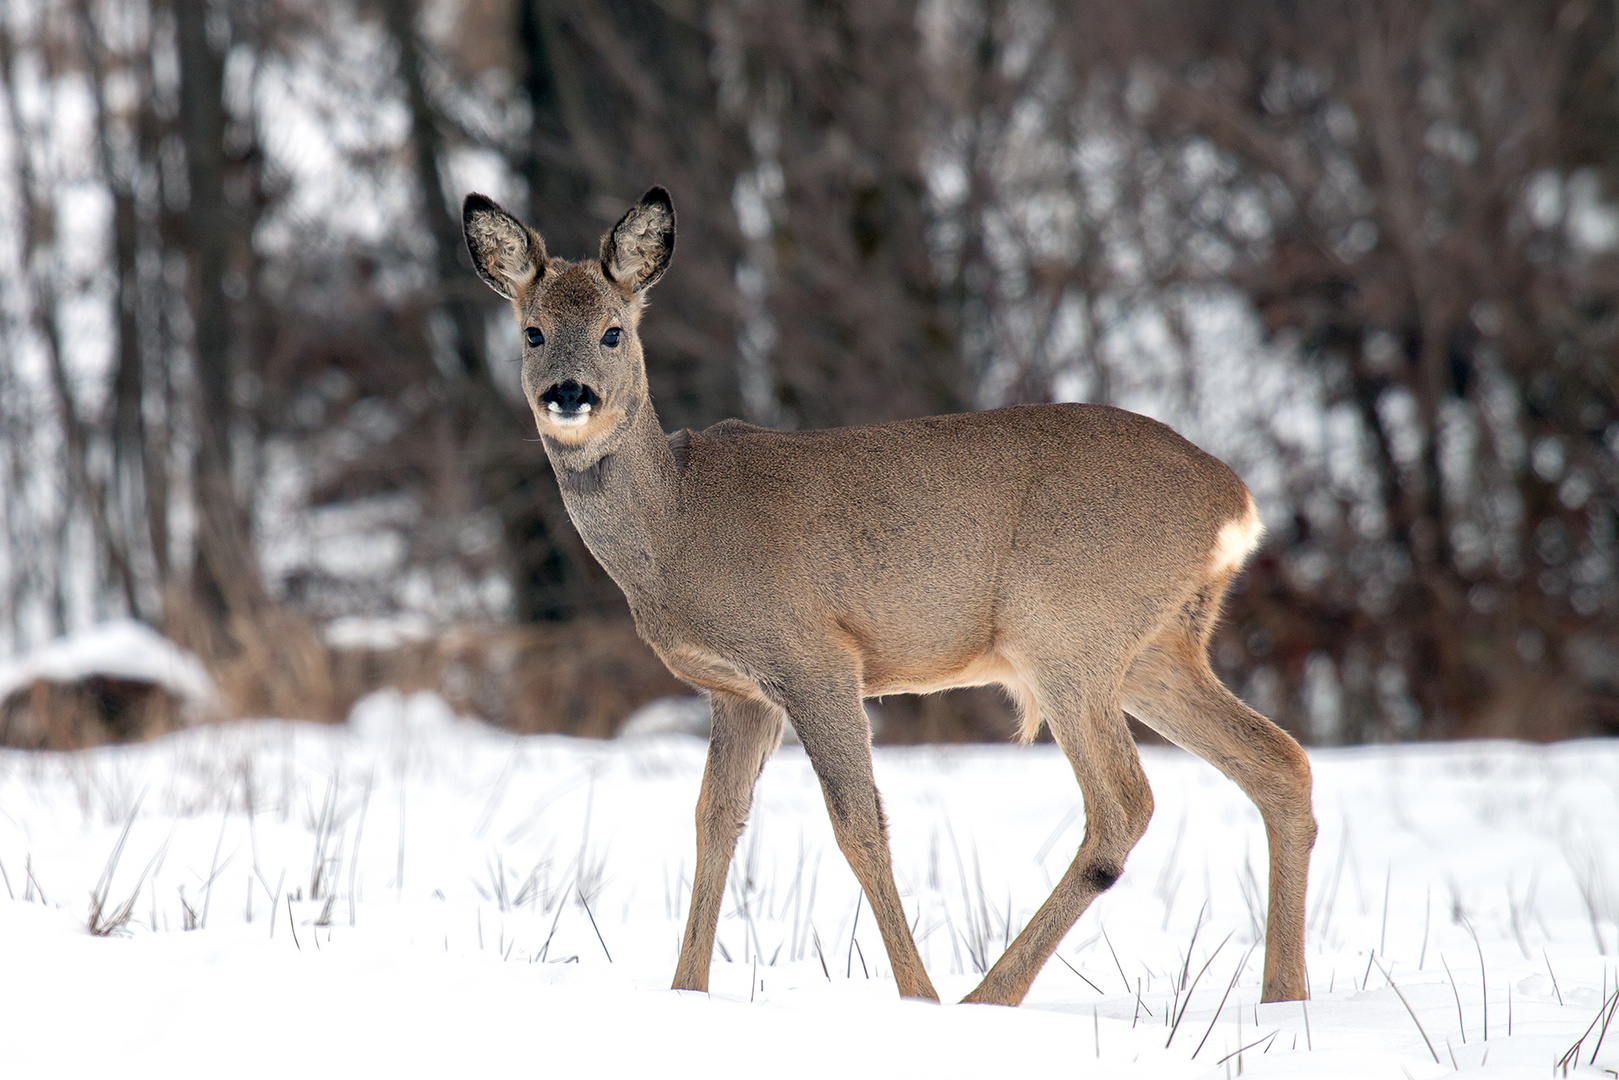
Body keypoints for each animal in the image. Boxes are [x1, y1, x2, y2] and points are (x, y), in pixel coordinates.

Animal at [459, 183, 1314, 1003]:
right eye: (531, 332)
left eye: (613, 331)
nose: (569, 394)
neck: (678, 526)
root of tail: (1236, 504)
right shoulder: (736, 691)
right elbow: (714, 823)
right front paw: (686, 994)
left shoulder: (816, 658)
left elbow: (859, 825)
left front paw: (915, 996)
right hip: (1154, 647)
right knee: (1279, 763)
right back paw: (1283, 997)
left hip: (1067, 630)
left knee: (1123, 805)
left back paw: (984, 995)